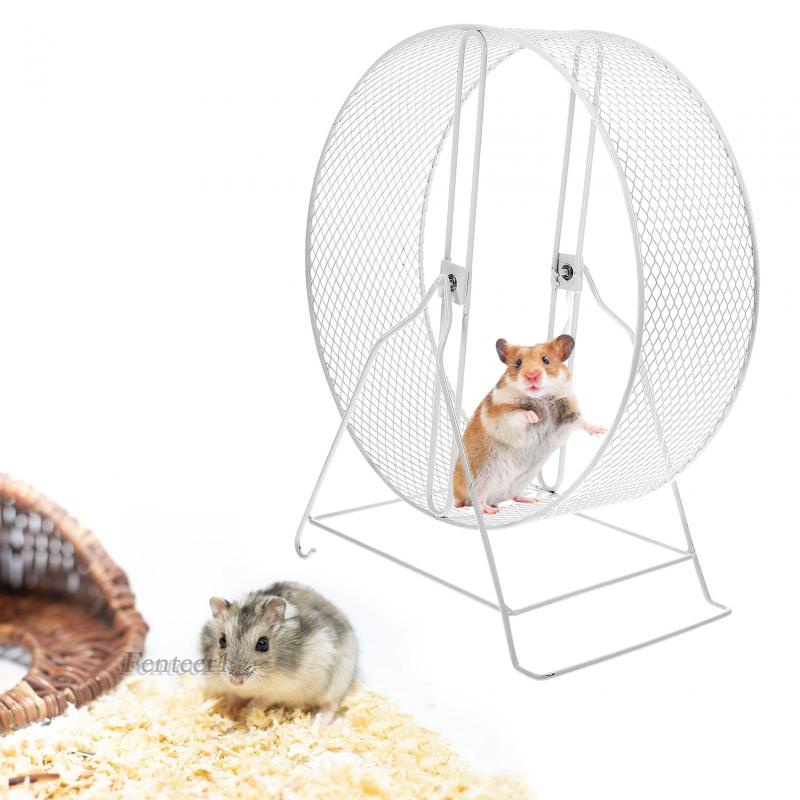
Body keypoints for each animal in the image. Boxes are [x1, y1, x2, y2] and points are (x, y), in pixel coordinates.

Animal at [200, 581, 357, 724]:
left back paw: (316, 724)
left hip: (337, 683)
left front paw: (246, 711)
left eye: (263, 643)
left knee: (330, 706)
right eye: (222, 640)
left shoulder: (285, 688)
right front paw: (229, 708)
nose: (236, 681)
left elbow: (263, 699)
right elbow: (233, 697)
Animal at [452, 334, 606, 514]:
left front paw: (601, 430)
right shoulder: (501, 417)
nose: (532, 375)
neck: (540, 397)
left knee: (513, 496)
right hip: (482, 476)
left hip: (520, 481)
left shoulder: (568, 414)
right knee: (478, 499)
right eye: (518, 362)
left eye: (546, 359)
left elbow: (581, 421)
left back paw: (531, 500)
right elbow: (518, 414)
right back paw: (491, 510)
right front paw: (533, 417)